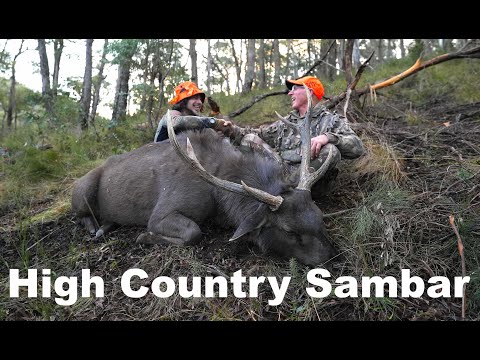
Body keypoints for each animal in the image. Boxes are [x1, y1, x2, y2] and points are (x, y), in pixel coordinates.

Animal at [73, 91, 340, 266]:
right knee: (82, 212)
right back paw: (96, 228)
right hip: (81, 190)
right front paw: (144, 236)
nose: (329, 258)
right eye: (290, 232)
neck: (219, 201)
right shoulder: (162, 211)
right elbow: (193, 232)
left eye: (319, 216)